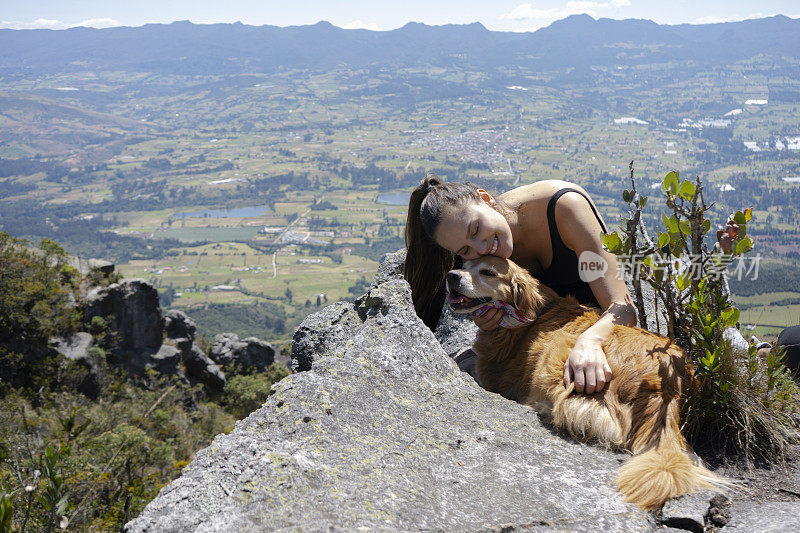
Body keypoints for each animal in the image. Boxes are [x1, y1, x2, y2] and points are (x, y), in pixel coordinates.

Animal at [444, 256, 724, 510]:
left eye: (488, 272)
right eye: (465, 265)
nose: (451, 275)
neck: (529, 315)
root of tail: (664, 380)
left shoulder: (490, 371)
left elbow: (469, 362)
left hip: (560, 352)